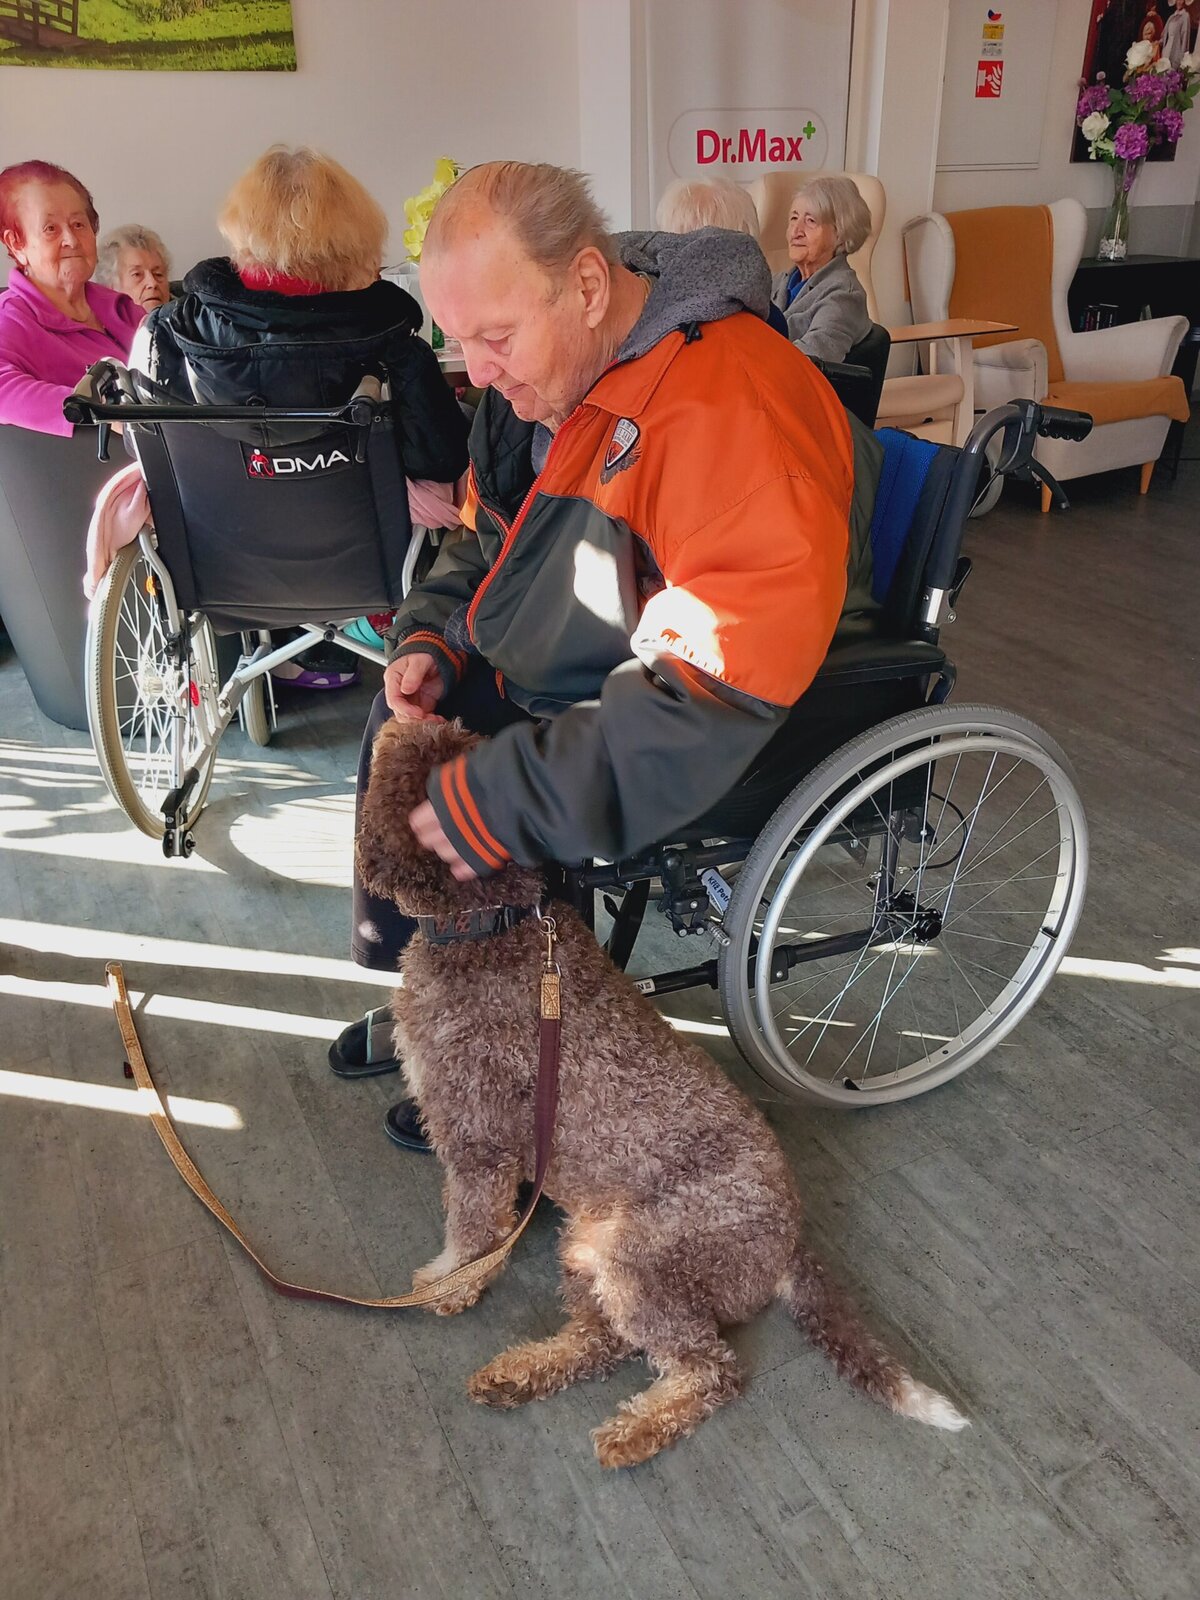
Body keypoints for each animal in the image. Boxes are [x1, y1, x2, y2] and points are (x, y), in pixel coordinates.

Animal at [356, 718, 968, 1469]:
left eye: (407, 760)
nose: (402, 712)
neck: (498, 921)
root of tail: (791, 1242)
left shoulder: (477, 1139)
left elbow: (471, 1231)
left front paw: (450, 1282)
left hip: (637, 1259)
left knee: (710, 1368)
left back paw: (637, 1430)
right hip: (589, 1246)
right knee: (606, 1340)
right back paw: (519, 1375)